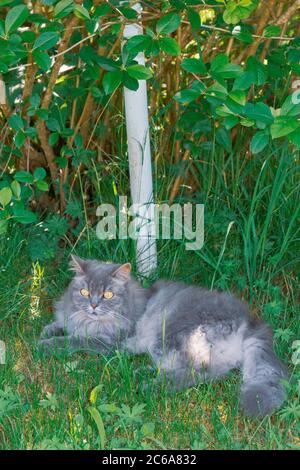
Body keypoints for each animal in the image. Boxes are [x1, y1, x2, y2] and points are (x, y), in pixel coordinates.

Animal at [38, 258, 288, 414]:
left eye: (108, 294)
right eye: (84, 292)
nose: (93, 305)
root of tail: (251, 322)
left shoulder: (108, 342)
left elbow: (74, 341)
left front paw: (46, 344)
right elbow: (60, 325)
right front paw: (48, 331)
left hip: (175, 337)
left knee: (198, 373)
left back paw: (150, 385)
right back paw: (141, 373)